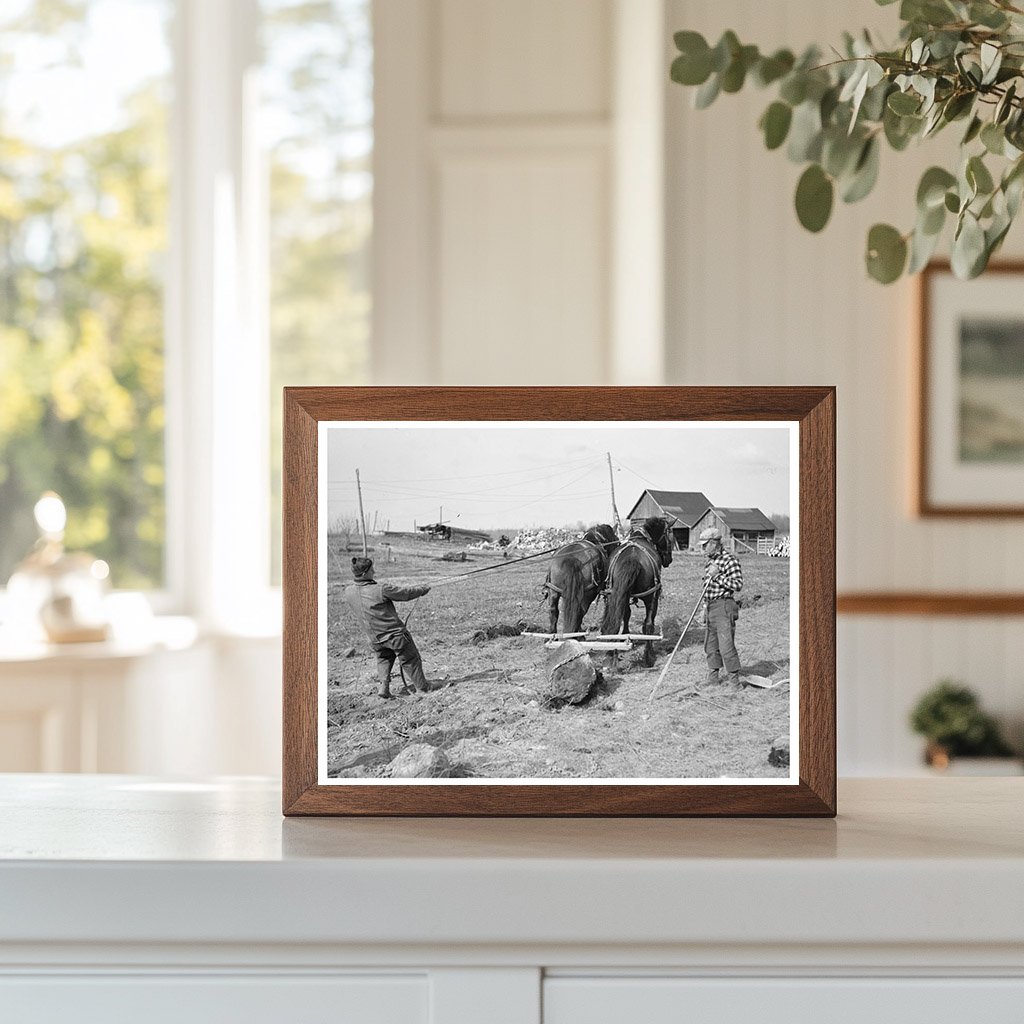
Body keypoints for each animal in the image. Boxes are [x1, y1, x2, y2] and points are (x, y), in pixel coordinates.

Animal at [598, 516, 675, 667]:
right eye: (670, 535)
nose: (669, 560)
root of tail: (632, 558)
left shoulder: (624, 594)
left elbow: (626, 614)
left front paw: (626, 636)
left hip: (613, 595)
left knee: (613, 621)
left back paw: (610, 655)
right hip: (651, 596)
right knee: (648, 625)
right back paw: (648, 656)